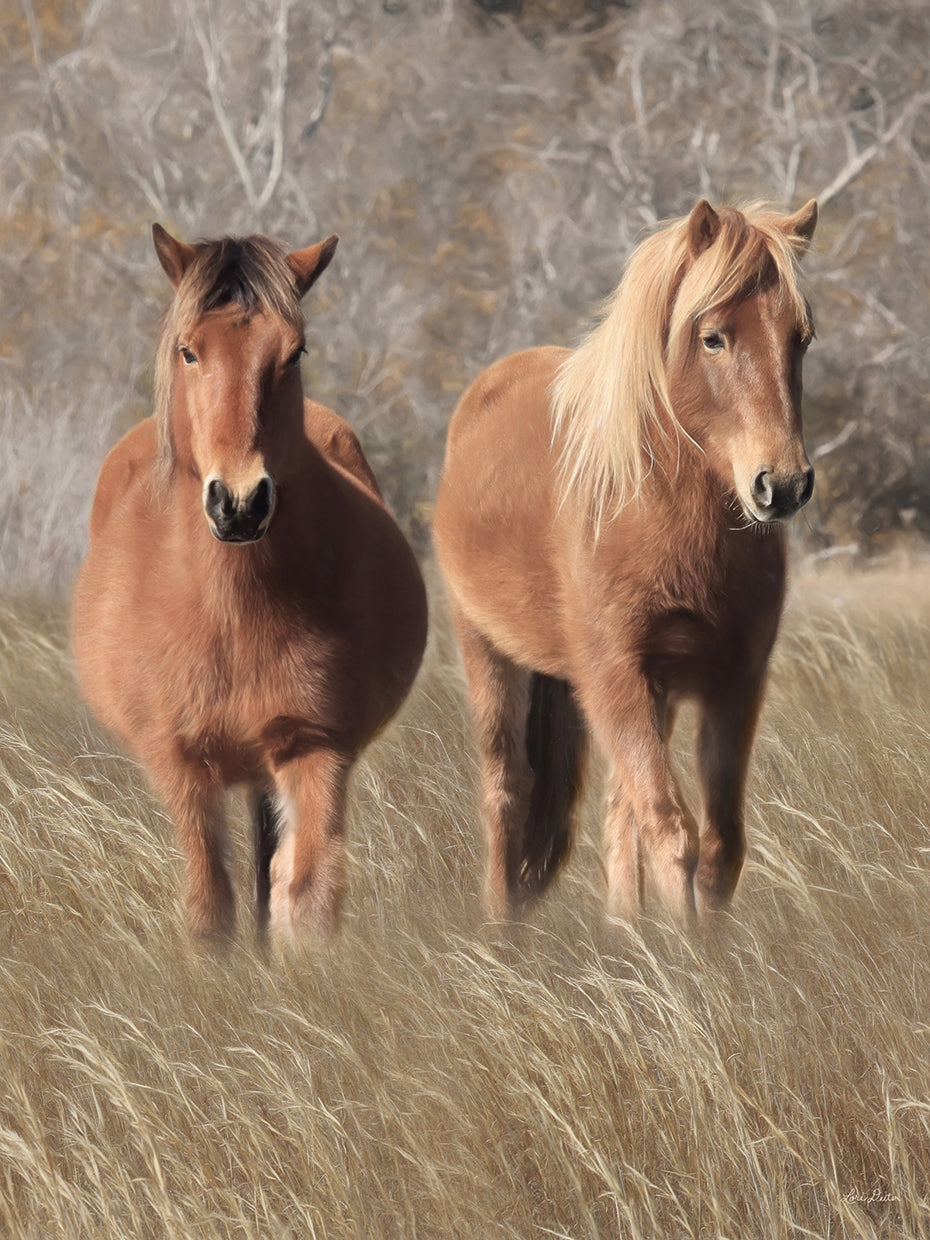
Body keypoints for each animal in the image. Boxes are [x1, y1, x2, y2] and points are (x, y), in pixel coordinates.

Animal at [73, 226, 428, 944]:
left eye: (295, 352)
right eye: (189, 350)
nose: (238, 504)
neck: (229, 609)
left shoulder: (315, 748)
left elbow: (306, 900)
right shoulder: (181, 764)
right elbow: (211, 909)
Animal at [433, 199, 818, 929]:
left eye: (801, 338)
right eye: (713, 338)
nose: (781, 485)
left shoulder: (733, 682)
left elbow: (720, 845)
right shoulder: (614, 676)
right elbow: (672, 833)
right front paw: (687, 954)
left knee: (617, 811)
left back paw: (623, 932)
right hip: (490, 654)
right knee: (508, 790)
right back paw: (500, 933)